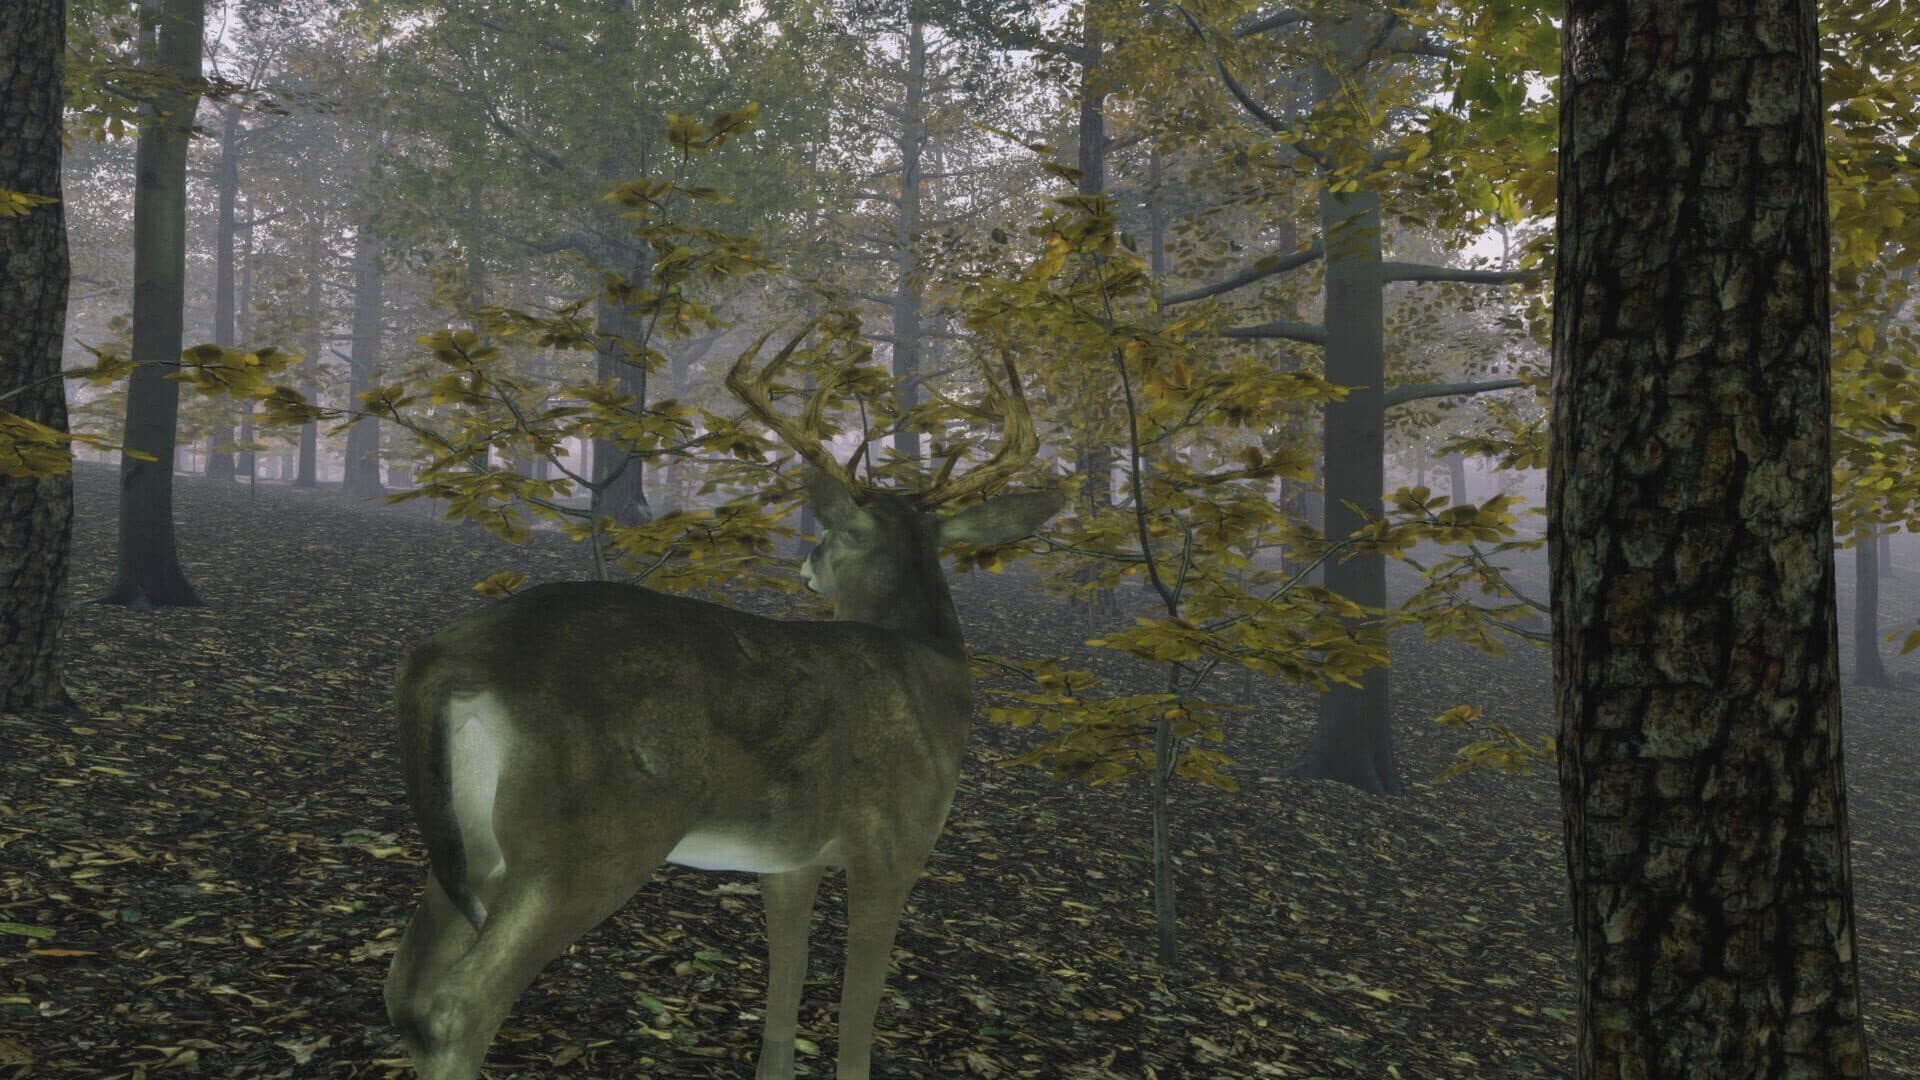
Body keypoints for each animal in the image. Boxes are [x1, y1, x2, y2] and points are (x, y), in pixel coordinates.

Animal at [381, 322, 1064, 1080]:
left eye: (837, 535)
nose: (807, 561)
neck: (932, 669)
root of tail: (447, 657)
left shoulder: (789, 859)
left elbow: (786, 989)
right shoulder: (894, 844)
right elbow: (857, 1019)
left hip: (472, 833)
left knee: (404, 989)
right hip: (587, 839)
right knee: (460, 1003)